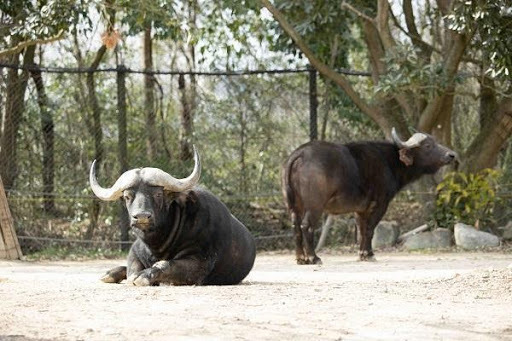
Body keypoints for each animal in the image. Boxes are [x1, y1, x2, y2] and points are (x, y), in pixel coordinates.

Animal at [90, 147, 256, 284]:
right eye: (127, 196)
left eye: (158, 194)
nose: (142, 216)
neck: (158, 245)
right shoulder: (135, 251)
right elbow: (132, 268)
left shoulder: (199, 262)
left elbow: (164, 265)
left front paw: (145, 276)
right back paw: (109, 274)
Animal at [282, 127, 458, 262]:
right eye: (428, 145)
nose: (451, 155)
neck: (390, 161)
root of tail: (300, 153)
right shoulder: (380, 204)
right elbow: (370, 229)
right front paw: (369, 254)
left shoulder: (359, 209)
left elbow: (361, 230)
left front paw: (362, 254)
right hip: (315, 206)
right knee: (306, 226)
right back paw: (313, 257)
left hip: (294, 205)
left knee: (295, 226)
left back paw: (301, 258)